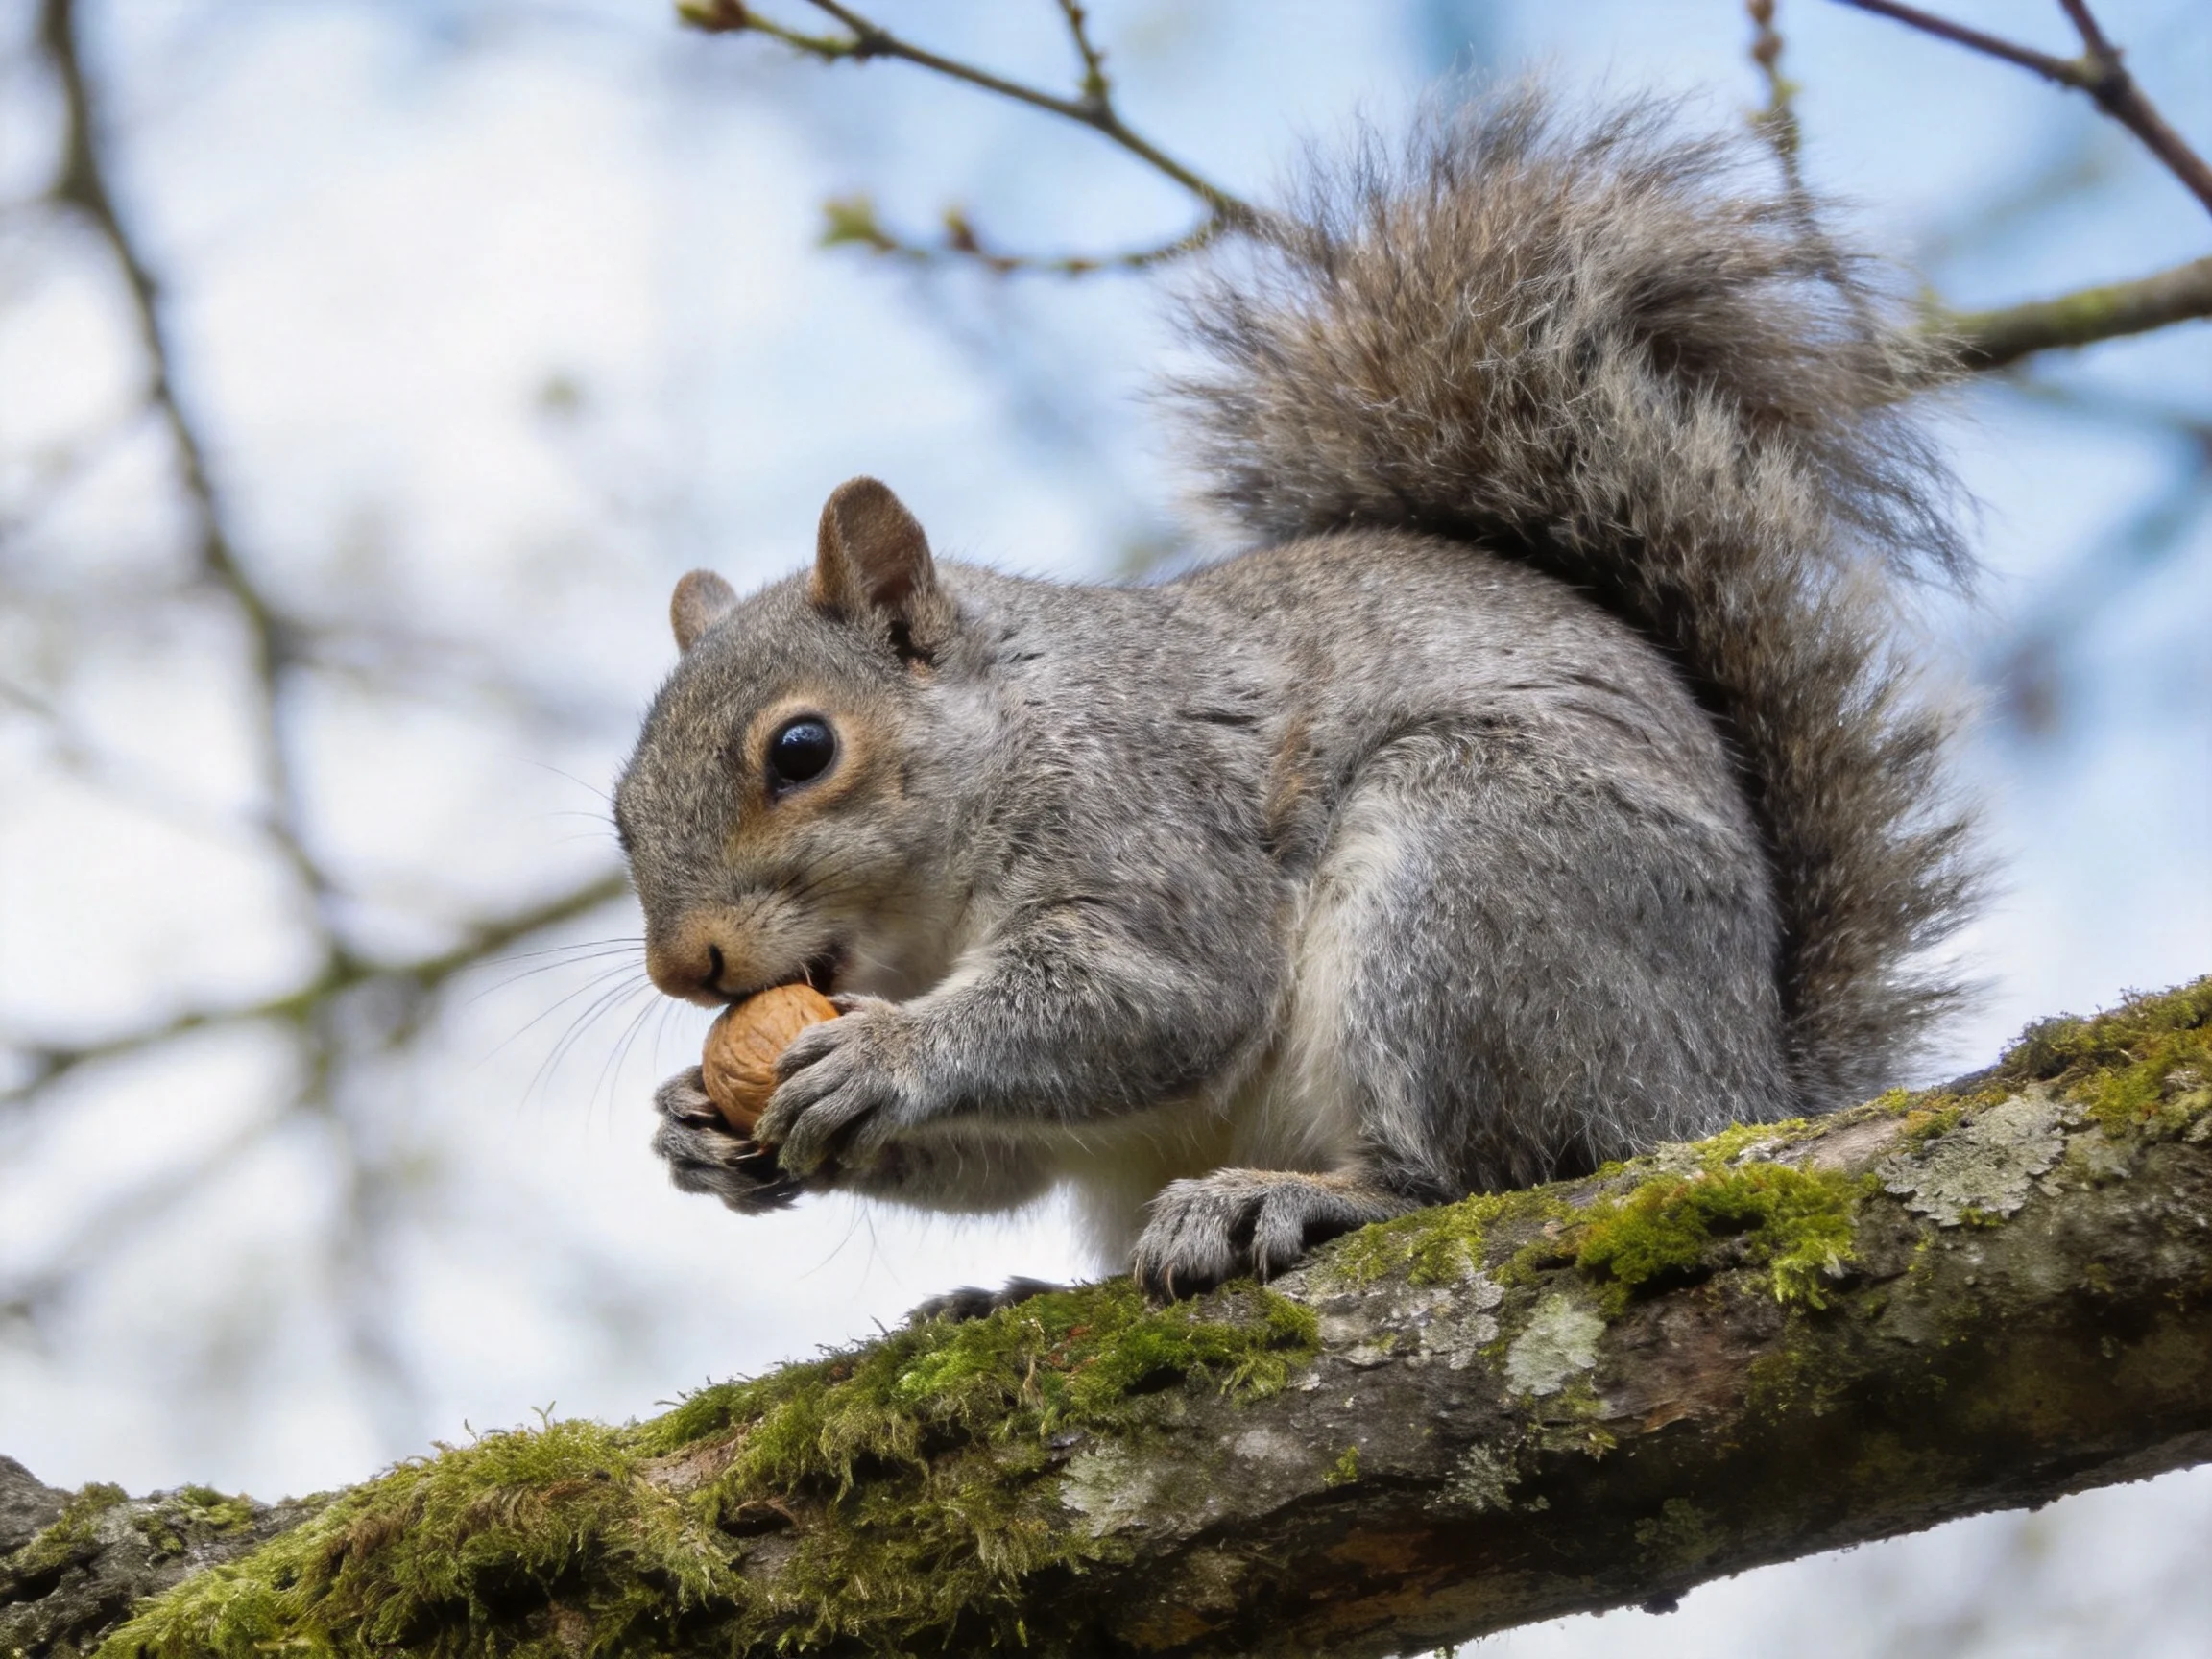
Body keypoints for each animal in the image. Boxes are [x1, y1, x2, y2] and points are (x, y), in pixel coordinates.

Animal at [614, 85, 1976, 1302]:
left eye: (801, 750)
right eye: (620, 818)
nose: (686, 968)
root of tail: (1739, 1092)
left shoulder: (1149, 821)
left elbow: (1161, 996)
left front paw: (887, 1055)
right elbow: (1005, 1158)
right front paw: (698, 1125)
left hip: (1484, 879)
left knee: (1482, 1170)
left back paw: (1305, 1195)